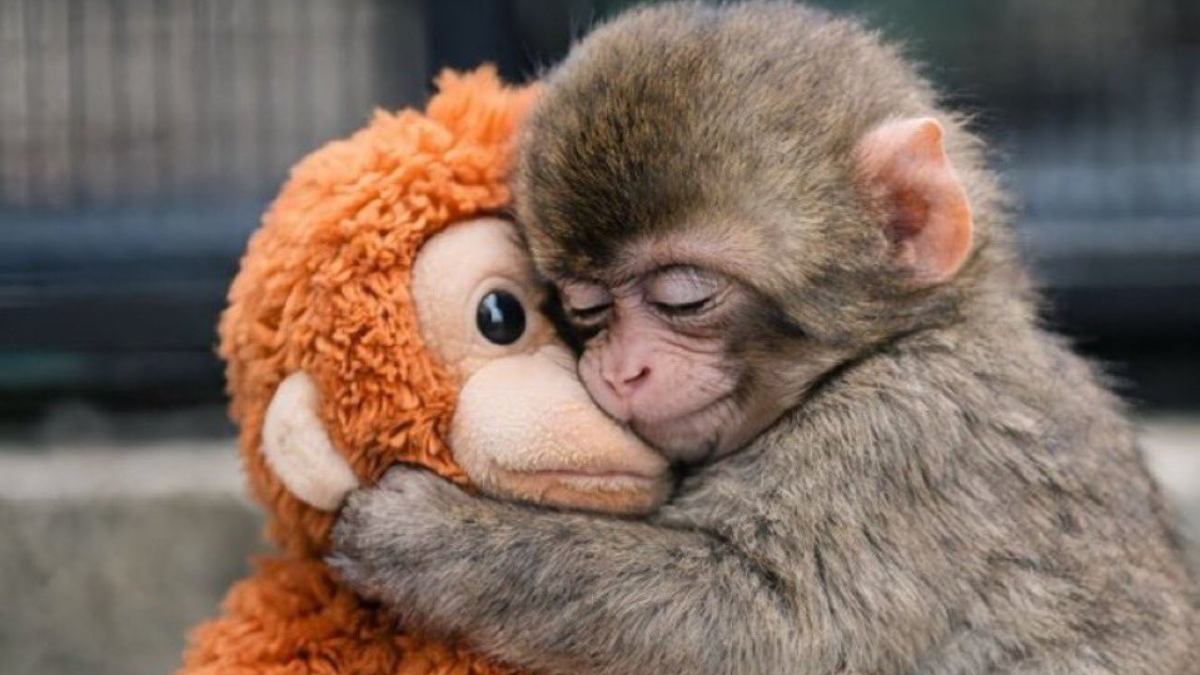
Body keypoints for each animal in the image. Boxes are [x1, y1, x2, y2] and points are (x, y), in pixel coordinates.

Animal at [329, 3, 1200, 674]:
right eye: (586, 308)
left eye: (684, 297)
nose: (619, 370)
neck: (894, 343)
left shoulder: (905, 441)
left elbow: (772, 626)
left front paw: (426, 535)